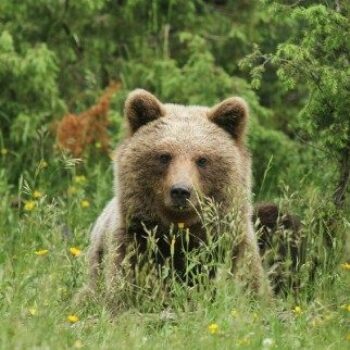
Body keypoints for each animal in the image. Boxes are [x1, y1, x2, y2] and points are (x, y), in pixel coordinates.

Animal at [86, 89, 272, 300]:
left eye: (202, 159)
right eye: (164, 156)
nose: (181, 191)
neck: (181, 234)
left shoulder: (233, 247)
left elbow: (248, 286)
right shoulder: (134, 245)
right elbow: (126, 288)